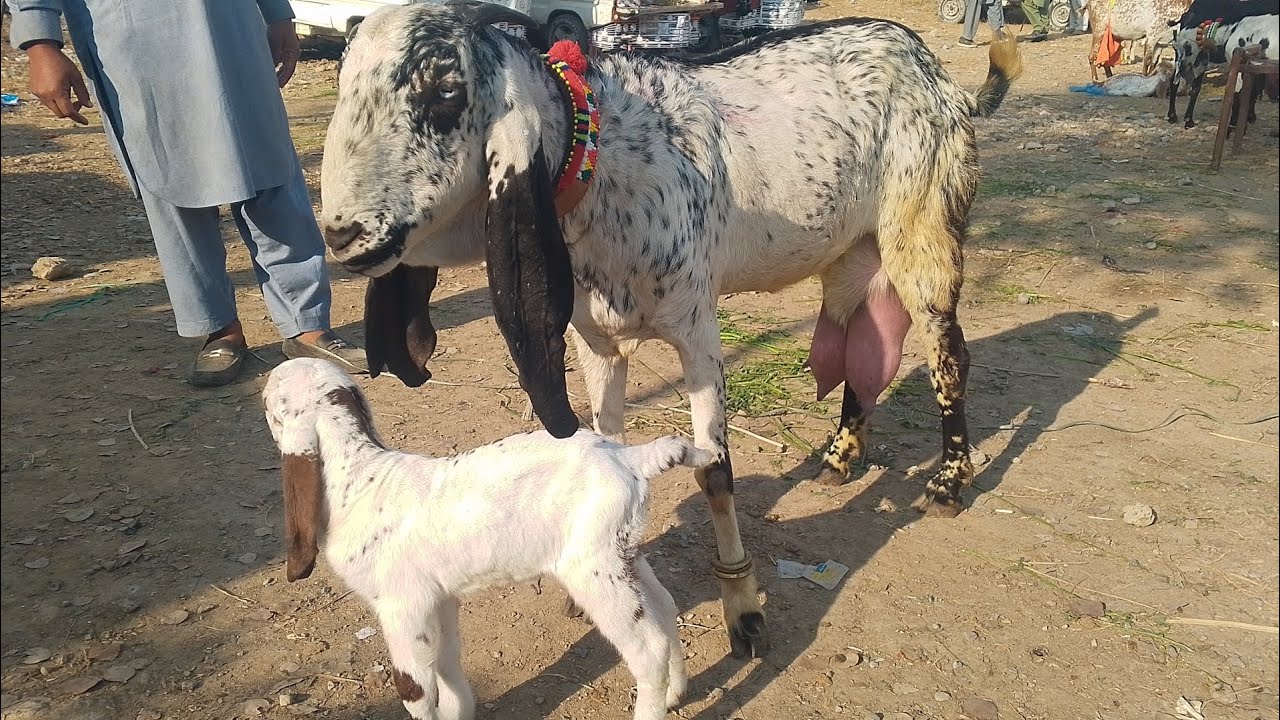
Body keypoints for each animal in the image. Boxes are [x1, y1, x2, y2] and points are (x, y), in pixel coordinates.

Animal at [263, 357, 707, 720]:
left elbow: (414, 687)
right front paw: (460, 711)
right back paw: (675, 694)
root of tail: (629, 458)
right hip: (623, 551)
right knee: (665, 608)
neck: (360, 478)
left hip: (592, 568)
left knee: (648, 649)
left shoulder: (402, 604)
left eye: (268, 405)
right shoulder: (439, 598)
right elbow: (446, 662)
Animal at [318, 3, 1022, 659]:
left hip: (924, 233)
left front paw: (744, 610)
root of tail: (936, 73)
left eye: (443, 90)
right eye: (345, 80)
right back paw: (839, 459)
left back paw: (947, 482)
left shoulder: (698, 332)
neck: (605, 159)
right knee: (861, 345)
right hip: (852, 255)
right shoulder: (596, 343)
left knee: (949, 352)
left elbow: (715, 472)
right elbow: (603, 446)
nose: (341, 235)